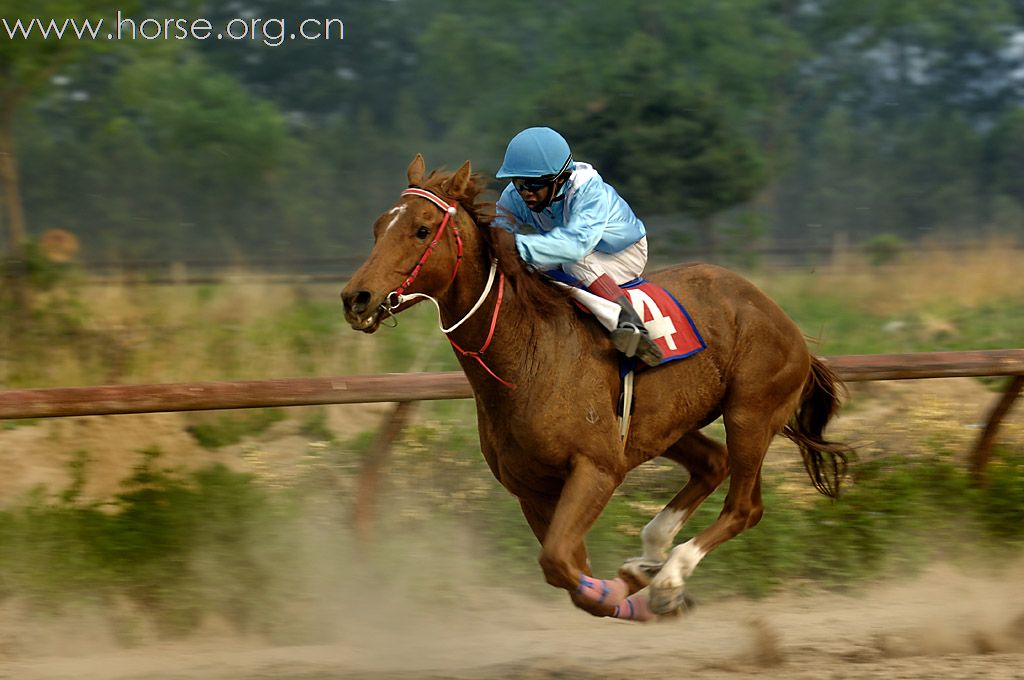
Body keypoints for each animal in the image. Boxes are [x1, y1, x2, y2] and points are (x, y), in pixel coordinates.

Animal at [339, 153, 851, 622]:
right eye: (379, 227)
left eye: (422, 230)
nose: (355, 298)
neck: (527, 357)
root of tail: (782, 319)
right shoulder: (532, 489)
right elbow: (569, 571)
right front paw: (627, 585)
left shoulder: (597, 468)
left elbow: (561, 565)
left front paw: (633, 592)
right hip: (663, 426)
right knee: (712, 464)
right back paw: (650, 561)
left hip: (751, 412)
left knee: (744, 507)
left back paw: (668, 579)